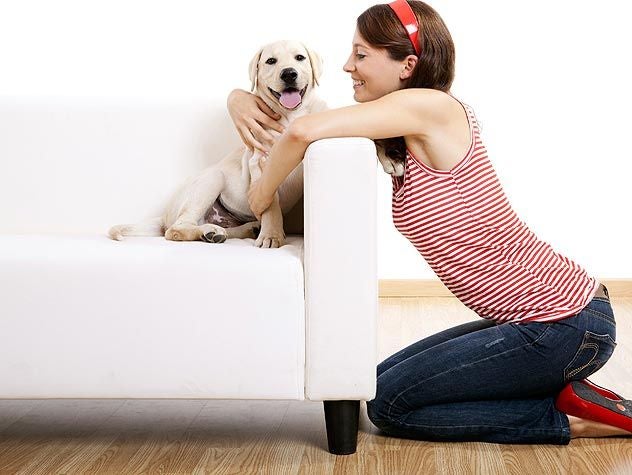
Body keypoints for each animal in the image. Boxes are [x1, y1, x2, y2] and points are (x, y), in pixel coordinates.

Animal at [107, 39, 328, 249]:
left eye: (300, 58)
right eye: (271, 61)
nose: (289, 74)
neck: (291, 116)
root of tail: (164, 217)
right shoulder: (260, 163)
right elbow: (270, 205)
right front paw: (271, 236)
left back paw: (237, 230)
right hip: (211, 180)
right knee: (175, 230)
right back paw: (210, 232)